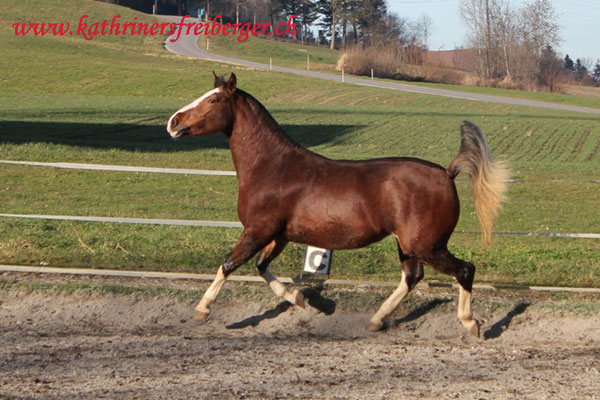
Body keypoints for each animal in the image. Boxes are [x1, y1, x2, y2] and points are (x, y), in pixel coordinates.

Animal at [166, 72, 508, 338]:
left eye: (213, 100)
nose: (173, 122)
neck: (272, 167)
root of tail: (447, 173)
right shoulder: (278, 235)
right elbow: (262, 267)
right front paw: (302, 300)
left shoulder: (257, 230)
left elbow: (228, 264)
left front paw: (201, 310)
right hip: (410, 246)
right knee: (412, 277)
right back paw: (376, 320)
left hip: (426, 245)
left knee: (464, 270)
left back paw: (471, 324)